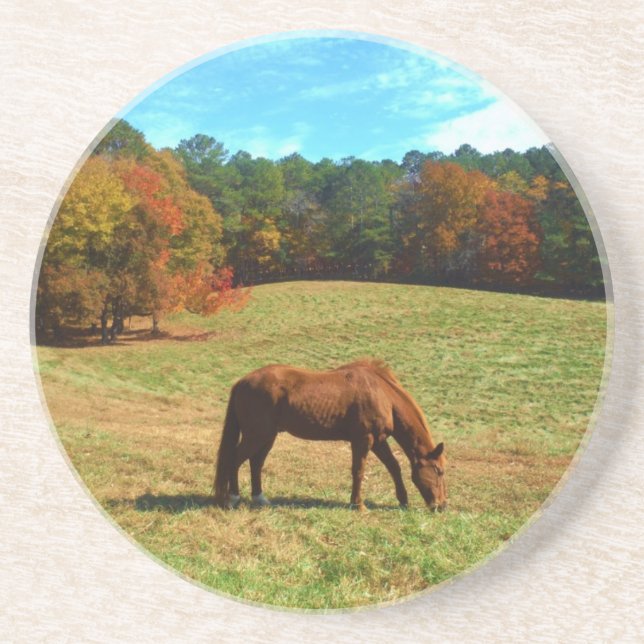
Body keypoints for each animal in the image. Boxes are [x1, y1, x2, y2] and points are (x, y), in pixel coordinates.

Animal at [213, 359, 447, 511]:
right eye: (438, 470)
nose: (442, 505)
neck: (383, 394)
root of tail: (242, 382)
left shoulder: (378, 441)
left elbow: (394, 467)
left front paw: (403, 500)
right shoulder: (363, 440)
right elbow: (359, 471)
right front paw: (358, 504)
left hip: (267, 437)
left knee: (256, 463)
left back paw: (259, 498)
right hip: (256, 436)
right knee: (234, 460)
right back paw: (232, 498)